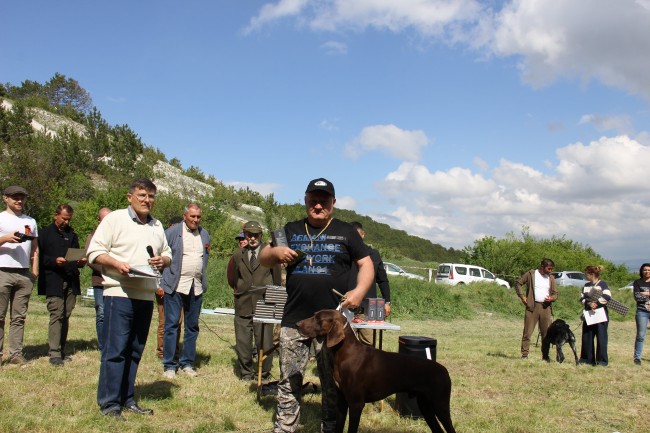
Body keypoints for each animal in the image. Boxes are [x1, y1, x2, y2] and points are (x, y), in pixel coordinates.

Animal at [297, 309, 456, 433]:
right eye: (314, 315)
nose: (297, 324)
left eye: (318, 319)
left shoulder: (356, 403)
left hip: (440, 406)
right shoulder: (342, 401)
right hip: (426, 406)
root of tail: (445, 371)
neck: (344, 353)